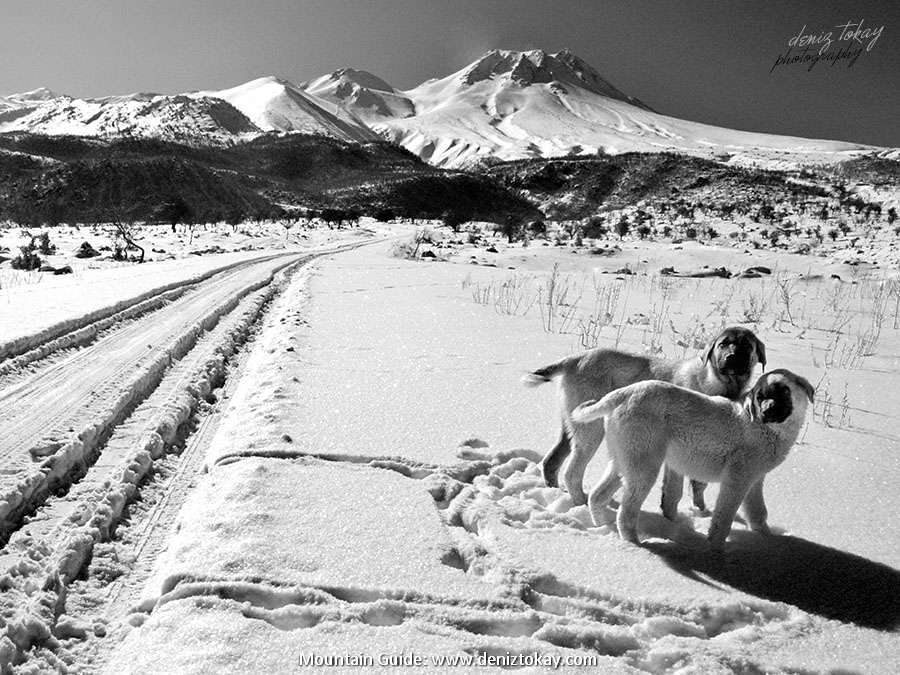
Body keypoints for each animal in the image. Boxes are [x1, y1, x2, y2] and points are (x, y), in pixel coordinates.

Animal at [520, 326, 768, 508]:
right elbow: (678, 490)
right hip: (592, 429)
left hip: (572, 425)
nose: (732, 357)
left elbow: (699, 485)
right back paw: (582, 503)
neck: (717, 383)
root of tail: (575, 358)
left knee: (551, 461)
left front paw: (700, 511)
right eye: (723, 344)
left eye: (747, 346)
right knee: (572, 472)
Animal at [568, 372, 816, 552]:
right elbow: (723, 517)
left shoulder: (755, 480)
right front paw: (716, 551)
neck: (763, 427)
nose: (767, 410)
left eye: (784, 391)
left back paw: (602, 526)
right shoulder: (737, 480)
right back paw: (636, 545)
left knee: (597, 495)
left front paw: (768, 540)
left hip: (623, 461)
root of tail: (623, 393)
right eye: (760, 397)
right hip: (644, 467)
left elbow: (758, 512)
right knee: (626, 511)